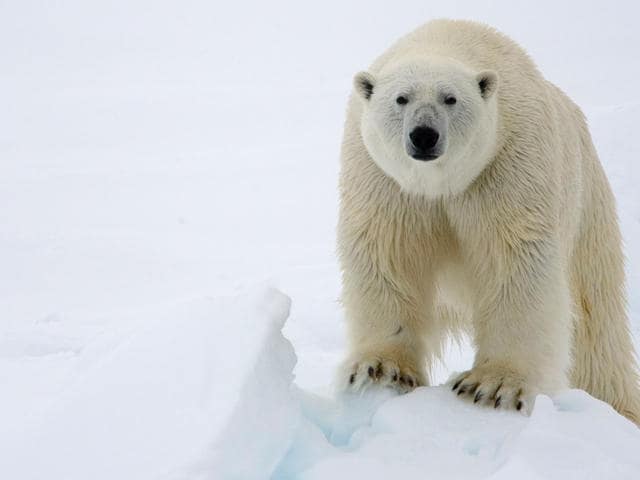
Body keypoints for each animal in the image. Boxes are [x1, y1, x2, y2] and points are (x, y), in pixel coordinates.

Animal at [337, 18, 640, 424]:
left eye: (450, 98)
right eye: (401, 99)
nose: (424, 135)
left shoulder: (508, 164)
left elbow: (515, 262)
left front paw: (492, 387)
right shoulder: (384, 180)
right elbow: (388, 254)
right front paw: (380, 369)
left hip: (587, 204)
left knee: (596, 322)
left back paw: (616, 406)